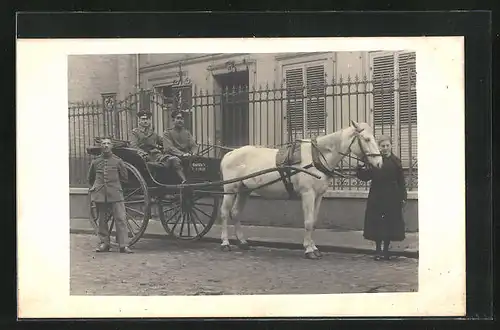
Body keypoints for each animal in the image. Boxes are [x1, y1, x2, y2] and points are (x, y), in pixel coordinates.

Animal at [218, 120, 382, 260]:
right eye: (367, 139)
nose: (380, 163)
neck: (317, 157)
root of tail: (229, 154)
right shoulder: (308, 193)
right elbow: (308, 222)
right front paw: (309, 250)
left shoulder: (319, 195)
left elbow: (314, 221)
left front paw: (314, 247)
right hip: (230, 188)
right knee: (225, 213)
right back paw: (225, 242)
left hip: (244, 190)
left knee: (236, 213)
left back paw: (242, 242)